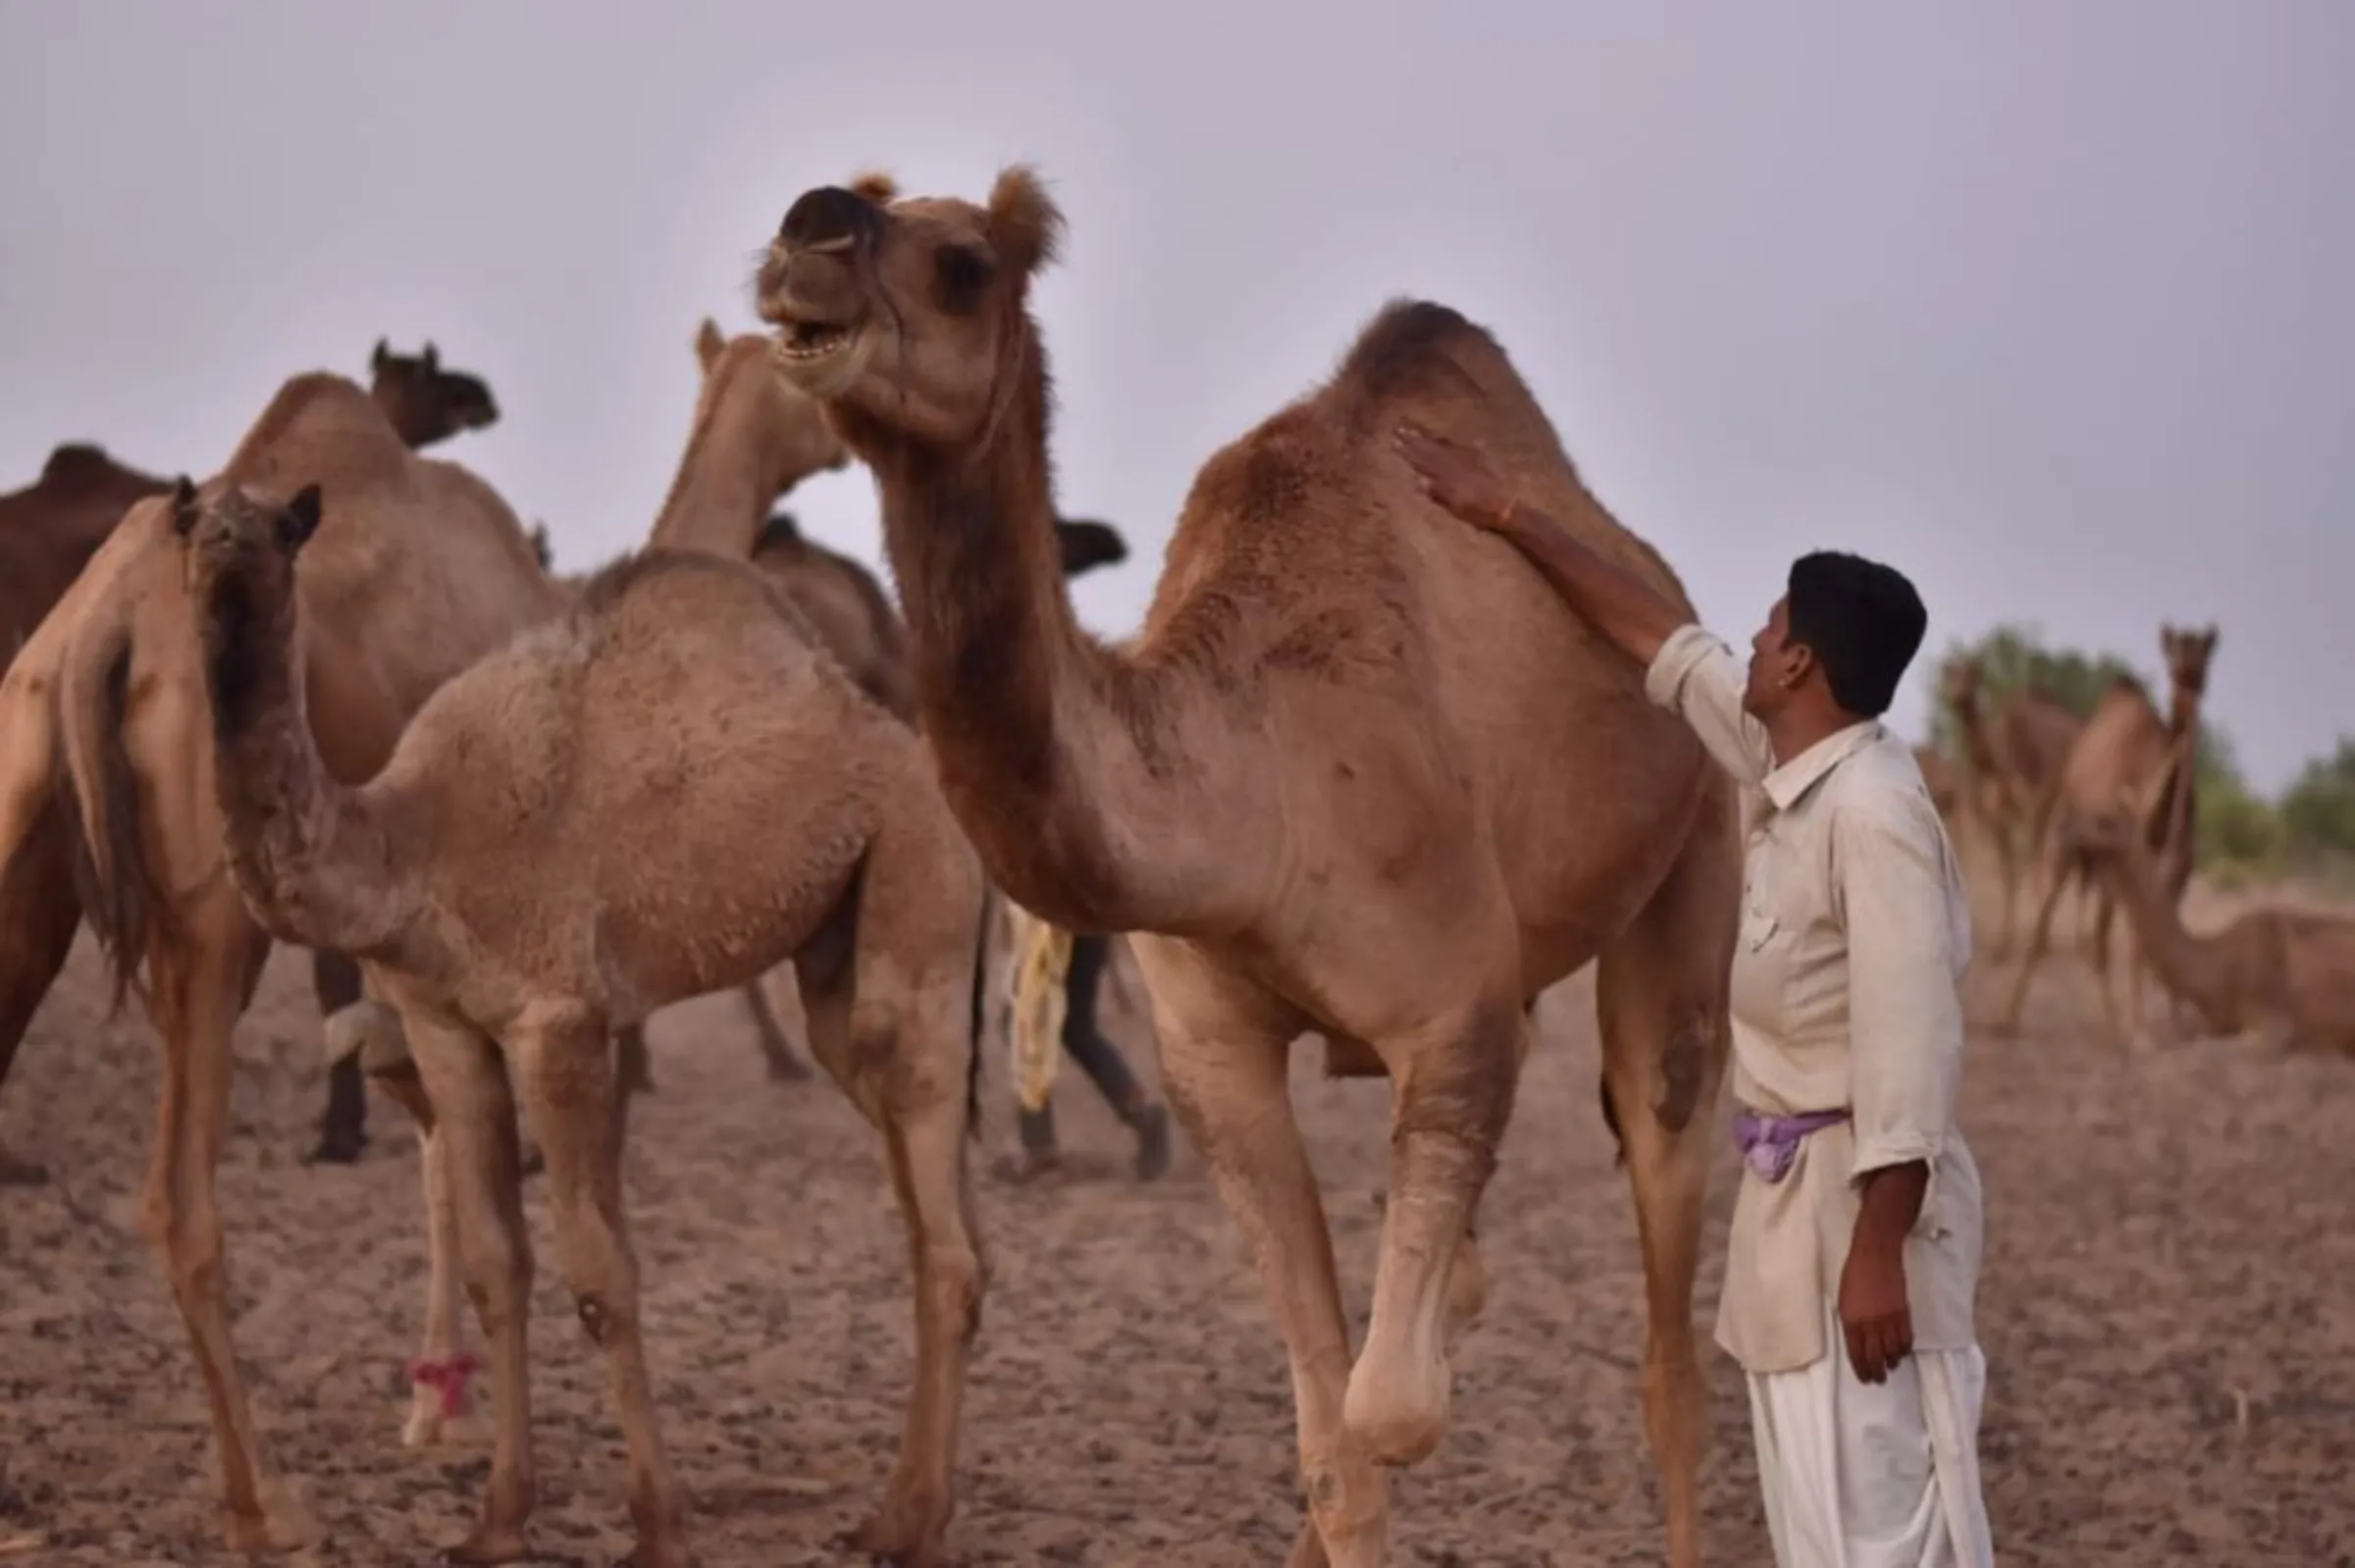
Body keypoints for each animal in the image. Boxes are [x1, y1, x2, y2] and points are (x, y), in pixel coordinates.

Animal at [183, 475, 989, 1563]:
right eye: (192, 518)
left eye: (279, 527)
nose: (225, 542)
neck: (411, 842)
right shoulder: (445, 1023)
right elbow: (496, 1267)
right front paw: (494, 1519)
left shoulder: (556, 1021)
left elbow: (601, 1275)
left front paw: (658, 1524)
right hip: (835, 957)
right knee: (928, 1199)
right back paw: (894, 1506)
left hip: (919, 871)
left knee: (939, 1209)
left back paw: (913, 1523)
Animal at [762, 168, 1743, 1563]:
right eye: (829, 215)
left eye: (962, 266)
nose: (810, 231)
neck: (1253, 791)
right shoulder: (1215, 1049)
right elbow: (1332, 1436)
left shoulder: (1452, 1022)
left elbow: (1388, 1410)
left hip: (1697, 833)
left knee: (1667, 1317)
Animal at [1940, 650, 2091, 951]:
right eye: (1949, 673)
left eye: (1973, 673)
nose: (1957, 694)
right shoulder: (1995, 814)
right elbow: (2008, 871)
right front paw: (2003, 943)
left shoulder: (2035, 806)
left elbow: (2031, 869)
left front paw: (2037, 940)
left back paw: (2080, 938)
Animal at [1997, 621, 2214, 1035]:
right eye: (2172, 650)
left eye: (2206, 651)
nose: (2188, 673)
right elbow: (2132, 944)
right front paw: (2140, 1028)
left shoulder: (2180, 869)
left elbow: (2160, 940)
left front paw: (2176, 1020)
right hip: (2069, 842)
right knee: (2062, 929)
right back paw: (2012, 1017)